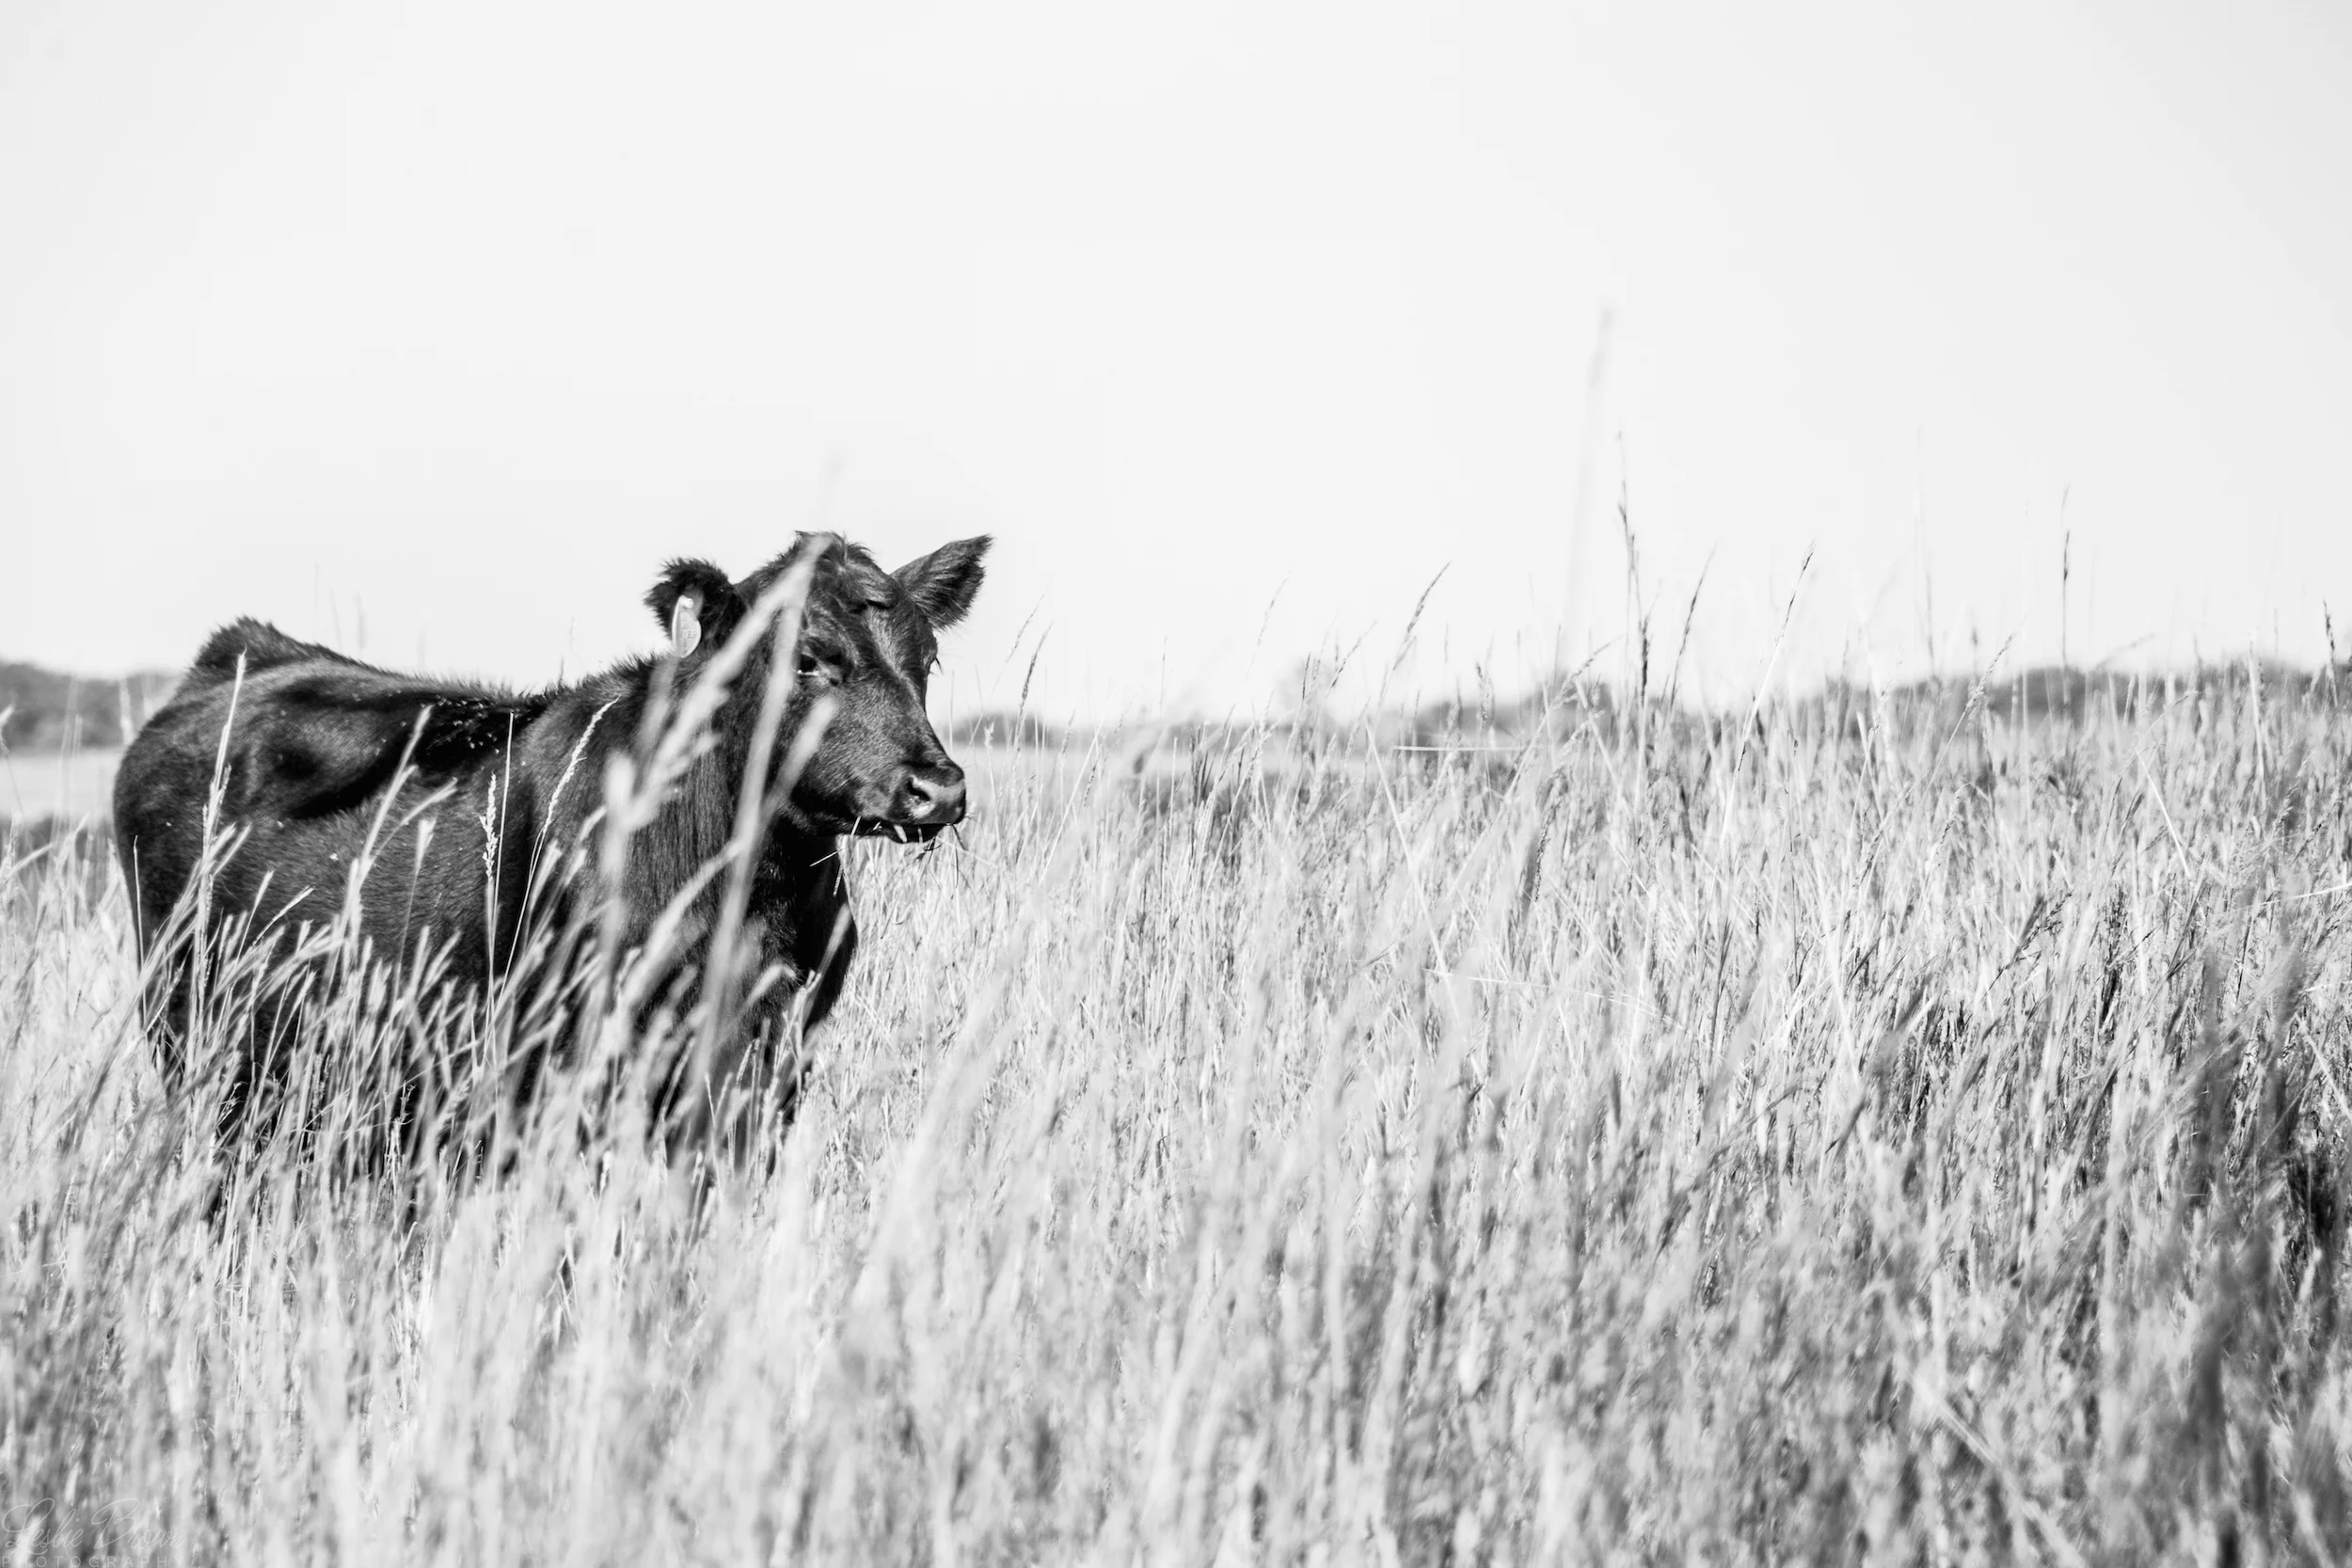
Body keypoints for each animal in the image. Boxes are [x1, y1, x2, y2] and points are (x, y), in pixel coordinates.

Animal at [112, 531, 988, 1169]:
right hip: (195, 1032)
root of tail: (248, 651)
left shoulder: (768, 1053)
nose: (936, 787)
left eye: (927, 659)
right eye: (805, 658)